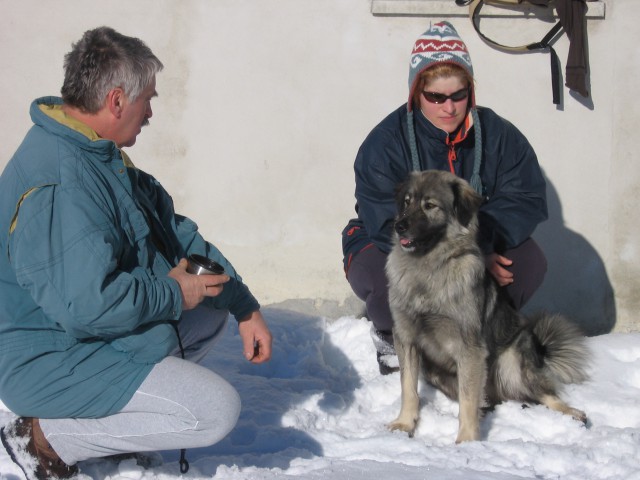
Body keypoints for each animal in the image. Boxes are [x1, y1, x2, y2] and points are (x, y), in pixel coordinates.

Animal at [384, 171, 592, 444]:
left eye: (430, 205)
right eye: (406, 202)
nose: (399, 225)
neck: (429, 268)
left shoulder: (469, 347)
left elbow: (468, 401)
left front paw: (466, 441)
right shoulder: (406, 337)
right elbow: (408, 387)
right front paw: (404, 424)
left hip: (510, 363)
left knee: (544, 393)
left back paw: (573, 414)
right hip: (439, 373)